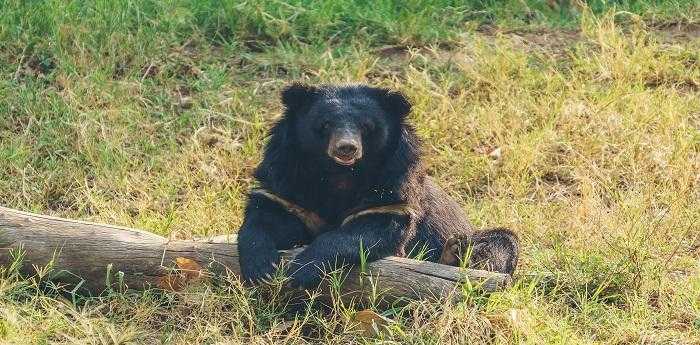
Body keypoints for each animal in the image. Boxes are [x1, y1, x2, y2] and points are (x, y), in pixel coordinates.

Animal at [238, 83, 516, 288]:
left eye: (366, 126)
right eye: (325, 124)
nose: (346, 148)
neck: (340, 173)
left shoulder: (392, 189)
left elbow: (368, 230)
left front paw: (301, 270)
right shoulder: (287, 179)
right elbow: (268, 216)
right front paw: (261, 269)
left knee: (498, 244)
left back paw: (454, 252)